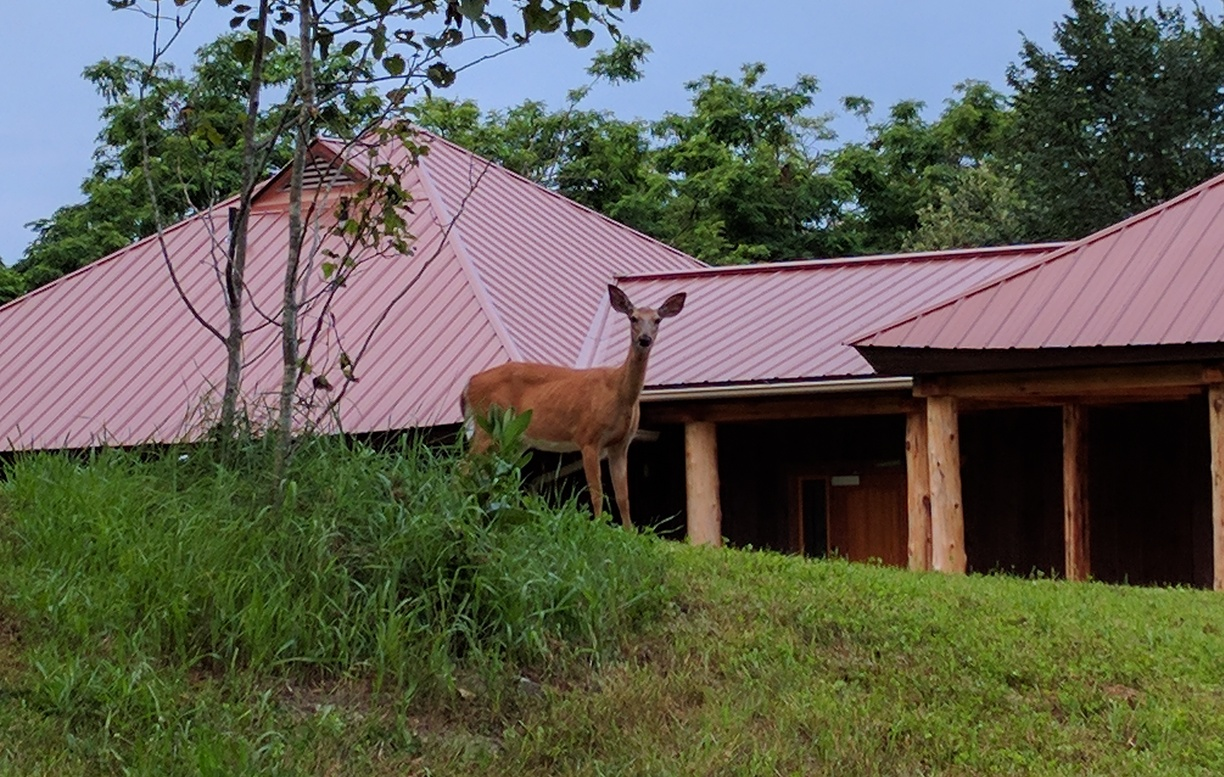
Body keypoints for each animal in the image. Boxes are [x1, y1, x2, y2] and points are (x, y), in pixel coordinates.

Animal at [460, 284, 687, 529]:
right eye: (633, 317)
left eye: (657, 320)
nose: (644, 339)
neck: (619, 393)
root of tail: (469, 383)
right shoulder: (588, 438)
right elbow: (596, 493)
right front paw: (598, 527)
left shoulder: (621, 444)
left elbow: (623, 496)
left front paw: (628, 531)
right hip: (486, 424)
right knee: (465, 467)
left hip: (515, 439)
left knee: (491, 474)